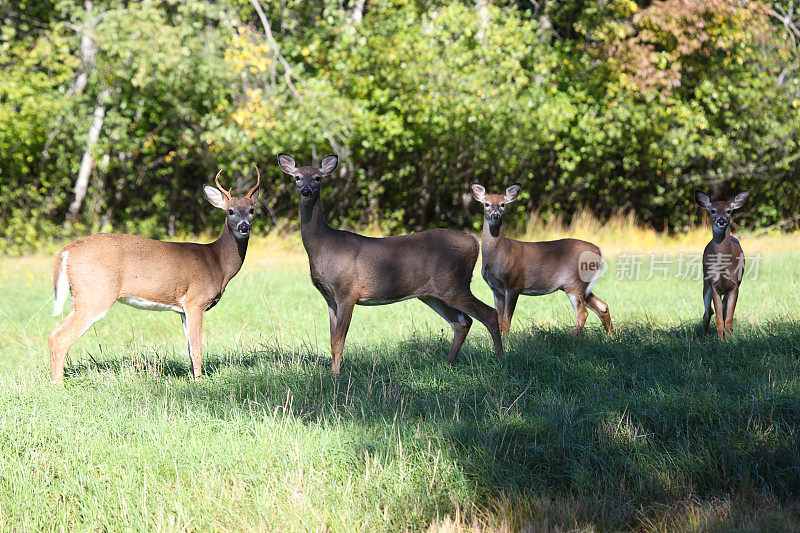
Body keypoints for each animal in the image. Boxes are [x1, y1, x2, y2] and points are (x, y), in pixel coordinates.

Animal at [47, 170, 260, 382]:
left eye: (251, 210)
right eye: (230, 211)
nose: (243, 227)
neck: (217, 262)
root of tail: (66, 251)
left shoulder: (183, 310)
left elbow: (190, 349)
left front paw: (193, 377)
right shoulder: (195, 301)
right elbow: (197, 348)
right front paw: (199, 381)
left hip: (82, 296)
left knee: (52, 334)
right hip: (95, 294)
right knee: (59, 337)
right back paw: (58, 384)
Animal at [276, 152, 500, 372]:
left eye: (318, 178)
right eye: (297, 177)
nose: (305, 191)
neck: (324, 246)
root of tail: (473, 239)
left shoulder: (347, 291)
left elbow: (339, 342)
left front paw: (336, 376)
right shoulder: (330, 297)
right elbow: (332, 341)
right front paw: (332, 373)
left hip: (454, 284)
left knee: (489, 313)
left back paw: (500, 358)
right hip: (433, 294)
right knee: (462, 322)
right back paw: (447, 364)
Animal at [468, 181, 612, 334]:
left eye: (503, 204)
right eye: (487, 204)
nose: (495, 215)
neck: (497, 255)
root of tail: (599, 250)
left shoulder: (514, 284)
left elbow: (507, 322)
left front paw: (507, 342)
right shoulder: (496, 289)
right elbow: (500, 322)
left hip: (574, 283)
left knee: (583, 313)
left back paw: (575, 336)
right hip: (582, 285)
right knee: (602, 306)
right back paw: (611, 336)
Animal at [692, 188, 752, 336]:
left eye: (728, 211)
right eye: (712, 210)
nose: (721, 221)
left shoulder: (734, 286)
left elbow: (728, 318)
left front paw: (728, 339)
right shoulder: (714, 286)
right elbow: (719, 319)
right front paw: (720, 339)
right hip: (705, 283)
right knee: (707, 312)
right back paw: (703, 338)